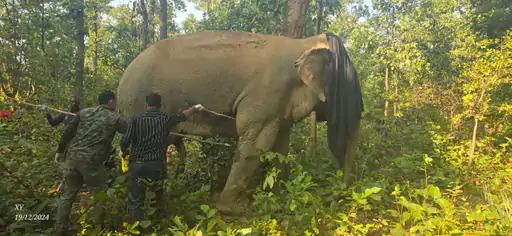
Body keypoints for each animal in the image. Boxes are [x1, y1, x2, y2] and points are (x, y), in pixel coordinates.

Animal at [116, 30, 364, 213]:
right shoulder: (266, 93)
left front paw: (279, 196)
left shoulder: (280, 104)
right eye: (351, 85)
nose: (340, 194)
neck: (304, 44)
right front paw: (234, 208)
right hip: (138, 102)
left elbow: (281, 146)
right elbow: (255, 145)